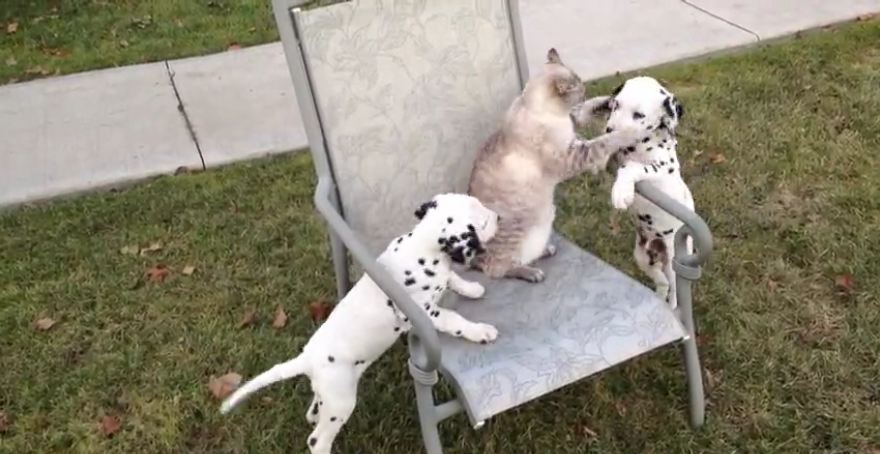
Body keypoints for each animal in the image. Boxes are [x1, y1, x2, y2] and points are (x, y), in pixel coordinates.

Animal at [218, 194, 502, 454]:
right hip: (341, 402)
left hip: (331, 393)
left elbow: (454, 278)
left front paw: (472, 288)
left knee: (315, 409)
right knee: (317, 439)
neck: (423, 248)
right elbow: (455, 320)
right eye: (482, 220)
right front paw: (482, 331)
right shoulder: (425, 313)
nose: (499, 217)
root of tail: (306, 359)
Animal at [468, 50, 648, 284]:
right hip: (515, 235)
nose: (585, 88)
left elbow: (586, 111)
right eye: (579, 87)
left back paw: (545, 251)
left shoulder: (573, 130)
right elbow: (604, 141)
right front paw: (629, 132)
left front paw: (607, 101)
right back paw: (531, 273)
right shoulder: (573, 157)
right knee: (496, 269)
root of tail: (473, 258)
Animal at [604, 77, 696, 308]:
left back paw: (671, 305)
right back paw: (658, 296)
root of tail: (657, 251)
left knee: (673, 287)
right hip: (642, 257)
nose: (609, 130)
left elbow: (633, 168)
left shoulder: (662, 169)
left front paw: (621, 192)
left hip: (673, 261)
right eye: (616, 105)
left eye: (639, 115)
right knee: (662, 281)